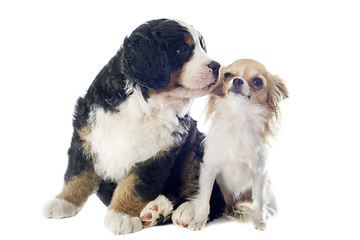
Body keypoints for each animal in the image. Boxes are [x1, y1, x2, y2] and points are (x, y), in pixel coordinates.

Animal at [44, 18, 225, 234]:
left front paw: (121, 215)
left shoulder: (158, 153)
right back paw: (157, 209)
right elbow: (76, 174)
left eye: (203, 48)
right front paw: (63, 202)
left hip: (197, 146)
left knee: (205, 190)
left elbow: (135, 186)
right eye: (182, 49)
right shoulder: (87, 133)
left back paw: (189, 210)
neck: (145, 104)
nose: (217, 66)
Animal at [173, 58, 288, 231]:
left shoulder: (260, 173)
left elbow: (259, 202)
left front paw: (259, 222)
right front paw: (199, 221)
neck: (239, 120)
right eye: (227, 75)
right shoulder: (209, 169)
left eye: (257, 81)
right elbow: (204, 200)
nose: (237, 80)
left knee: (267, 206)